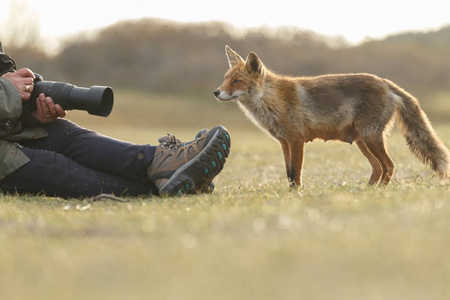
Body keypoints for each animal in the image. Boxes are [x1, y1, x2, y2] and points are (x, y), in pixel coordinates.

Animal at [212, 45, 450, 186]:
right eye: (225, 78)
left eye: (237, 81)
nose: (216, 92)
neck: (272, 101)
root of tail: (385, 82)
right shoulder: (284, 142)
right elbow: (289, 174)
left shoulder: (296, 140)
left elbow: (295, 173)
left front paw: (296, 197)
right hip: (364, 141)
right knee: (378, 168)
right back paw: (367, 192)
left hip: (370, 137)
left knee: (389, 166)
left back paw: (379, 192)